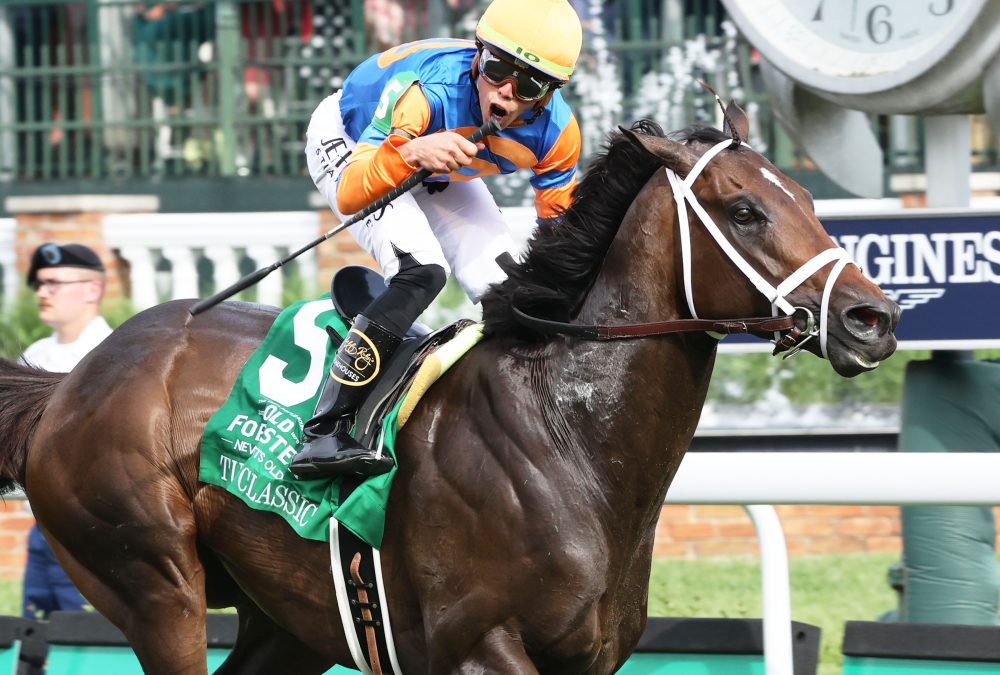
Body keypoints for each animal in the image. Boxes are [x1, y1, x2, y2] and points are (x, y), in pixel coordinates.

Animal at [0, 107, 896, 675]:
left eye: (808, 199)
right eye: (744, 210)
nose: (872, 317)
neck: (565, 434)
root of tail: (72, 380)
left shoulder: (589, 658)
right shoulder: (480, 646)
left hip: (287, 619)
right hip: (154, 582)